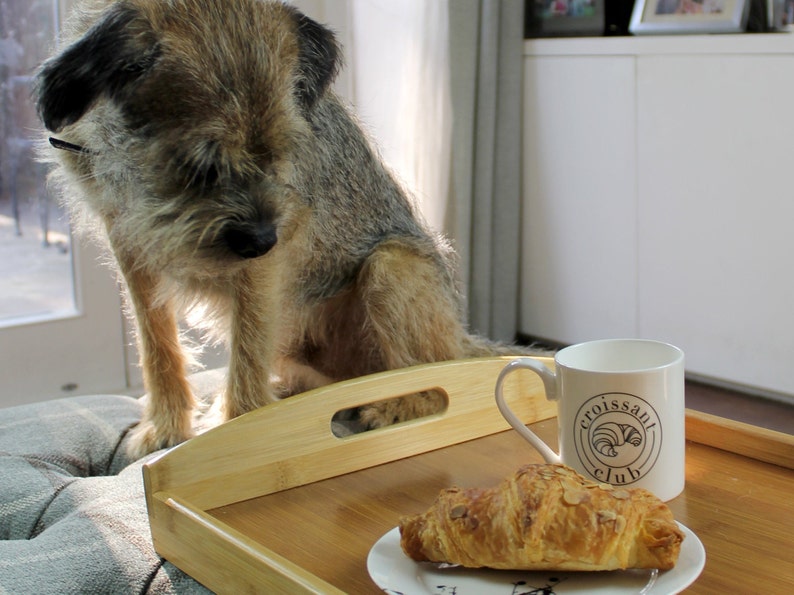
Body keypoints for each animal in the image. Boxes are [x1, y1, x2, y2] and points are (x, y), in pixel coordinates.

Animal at [35, 0, 532, 458]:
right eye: (201, 164)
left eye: (283, 150)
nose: (260, 238)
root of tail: (466, 341)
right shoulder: (127, 242)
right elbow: (155, 342)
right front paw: (167, 425)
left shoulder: (267, 256)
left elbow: (247, 349)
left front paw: (238, 435)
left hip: (392, 267)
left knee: (433, 384)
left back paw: (390, 406)